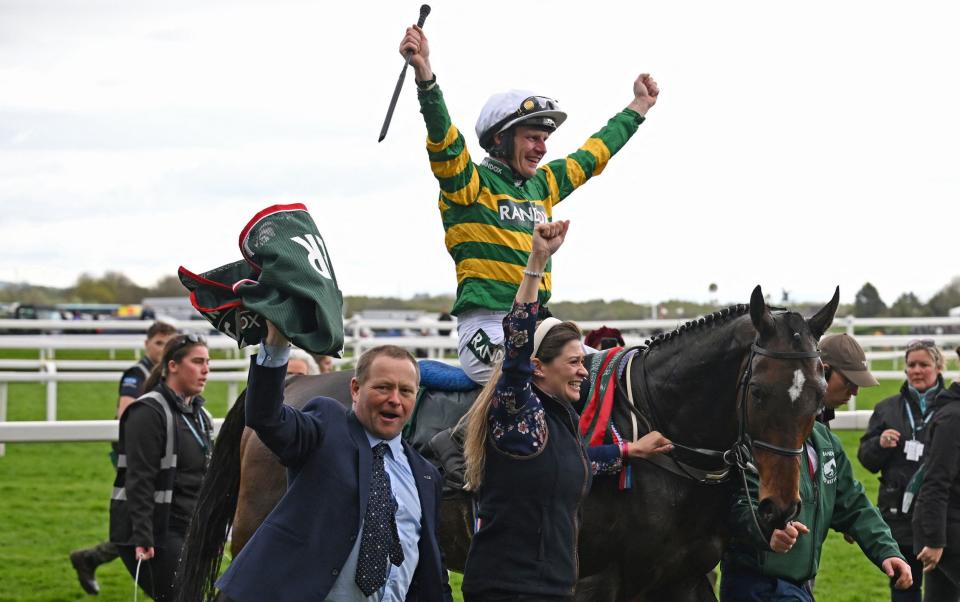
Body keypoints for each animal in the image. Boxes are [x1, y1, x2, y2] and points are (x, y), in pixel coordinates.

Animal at [180, 286, 840, 600]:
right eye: (759, 391)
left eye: (816, 396)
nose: (781, 508)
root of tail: (297, 385)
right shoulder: (591, 583)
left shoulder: (683, 582)